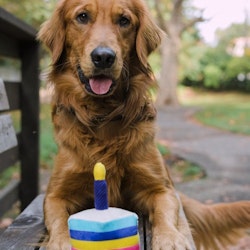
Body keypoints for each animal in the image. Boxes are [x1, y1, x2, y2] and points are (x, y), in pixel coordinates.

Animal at [37, 0, 250, 249]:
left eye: (124, 21)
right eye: (82, 17)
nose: (104, 57)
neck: (103, 117)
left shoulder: (161, 189)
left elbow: (164, 214)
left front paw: (170, 239)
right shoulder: (54, 194)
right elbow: (58, 220)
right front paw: (59, 242)